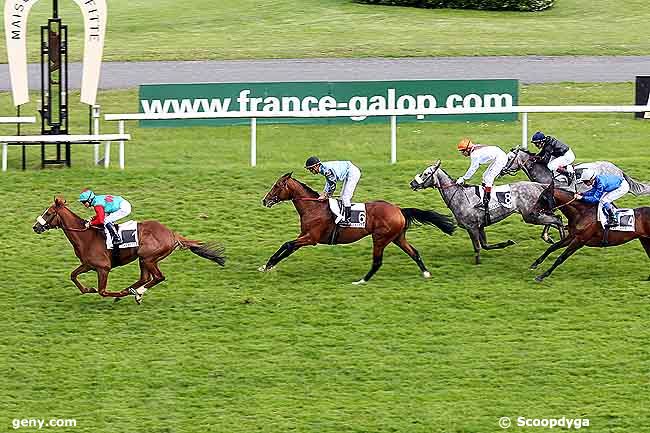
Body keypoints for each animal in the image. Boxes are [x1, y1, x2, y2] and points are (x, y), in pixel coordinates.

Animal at [33, 197, 225, 302]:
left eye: (48, 213)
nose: (35, 227)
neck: (86, 236)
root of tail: (171, 234)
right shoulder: (88, 264)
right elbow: (73, 275)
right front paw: (88, 289)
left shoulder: (103, 268)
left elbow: (103, 291)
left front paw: (115, 293)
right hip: (144, 259)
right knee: (145, 278)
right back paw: (132, 291)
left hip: (148, 257)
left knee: (158, 277)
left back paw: (135, 292)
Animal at [256, 172, 454, 284]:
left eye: (277, 186)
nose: (265, 200)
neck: (313, 207)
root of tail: (399, 210)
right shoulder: (304, 235)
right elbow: (287, 247)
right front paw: (267, 266)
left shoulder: (311, 238)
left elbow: (287, 245)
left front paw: (268, 265)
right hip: (397, 238)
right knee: (414, 252)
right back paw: (426, 273)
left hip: (380, 238)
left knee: (377, 262)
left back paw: (361, 281)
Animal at [410, 159, 560, 264]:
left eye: (426, 173)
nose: (412, 183)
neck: (459, 195)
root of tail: (539, 185)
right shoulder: (480, 226)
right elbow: (486, 245)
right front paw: (508, 243)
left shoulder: (471, 227)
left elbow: (477, 247)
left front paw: (477, 263)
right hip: (536, 213)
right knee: (555, 218)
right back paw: (550, 237)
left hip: (530, 215)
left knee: (556, 219)